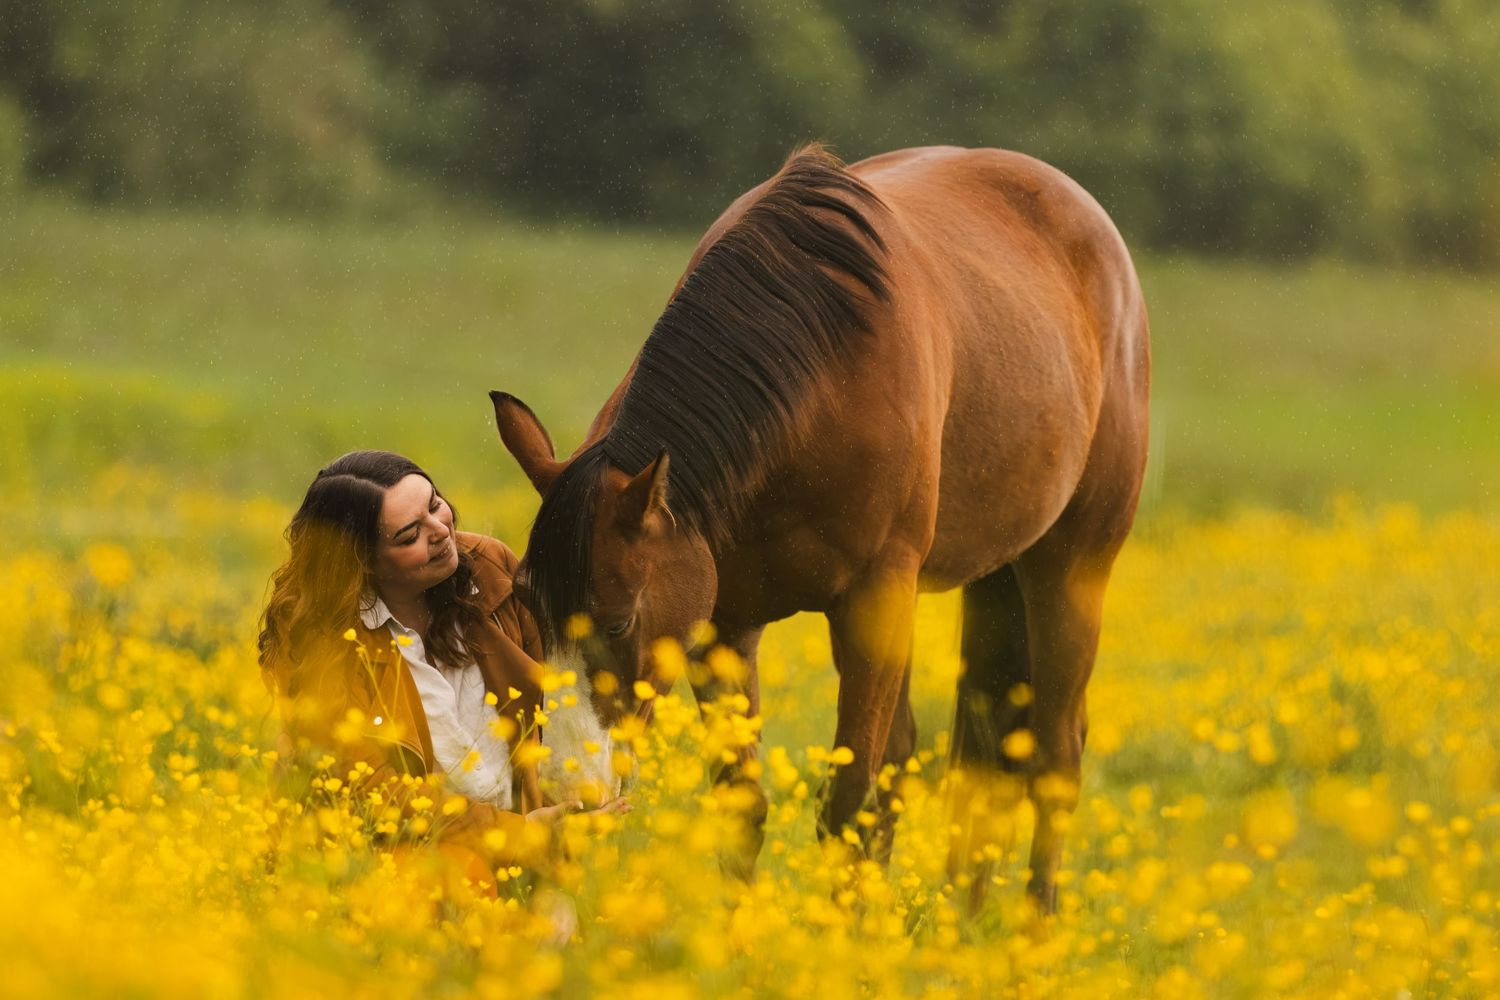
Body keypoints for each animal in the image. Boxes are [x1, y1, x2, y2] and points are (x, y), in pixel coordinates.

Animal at [491, 143, 1149, 912]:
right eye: (528, 607)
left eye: (620, 622)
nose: (569, 786)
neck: (811, 392)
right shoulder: (724, 625)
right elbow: (745, 805)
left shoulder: (873, 599)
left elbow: (850, 799)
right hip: (993, 577)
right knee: (980, 750)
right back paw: (962, 920)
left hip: (1069, 569)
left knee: (1055, 753)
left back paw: (1029, 928)